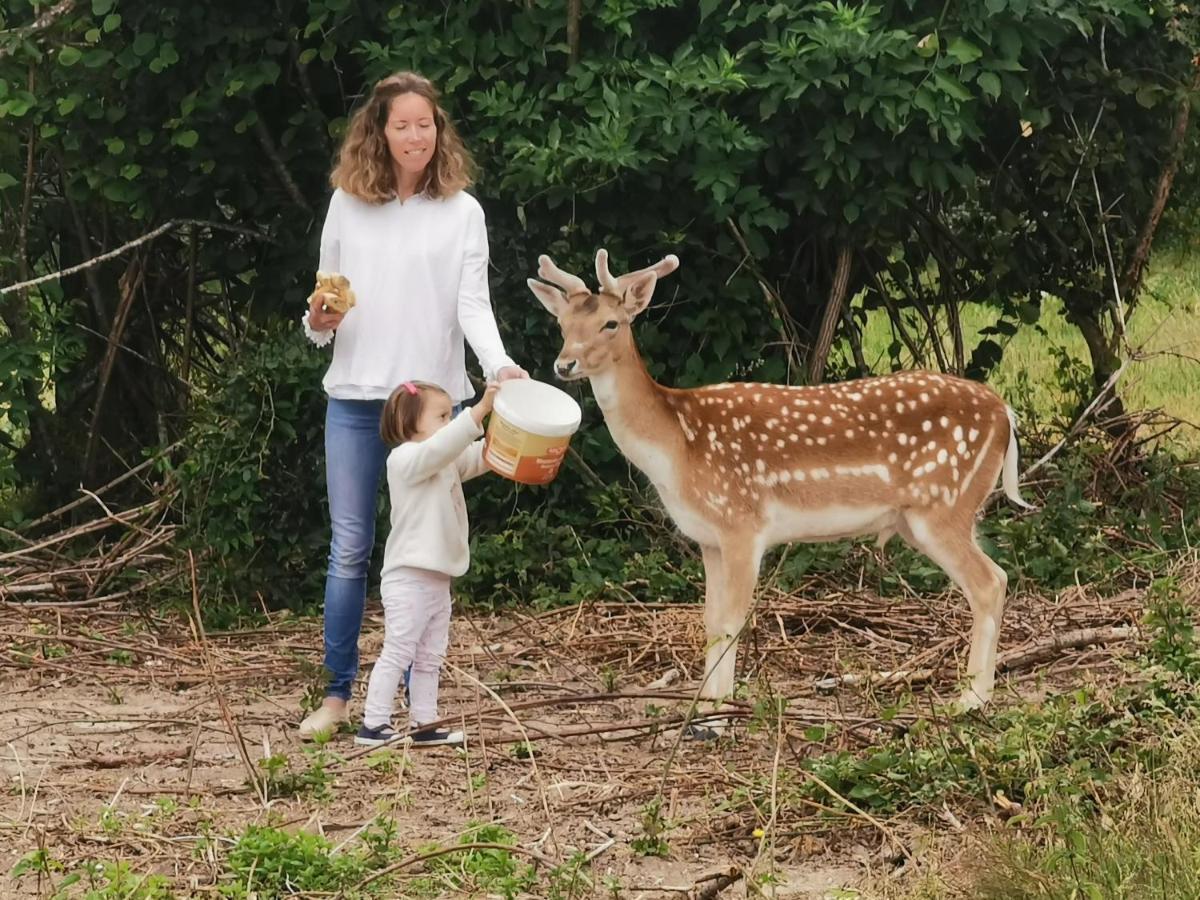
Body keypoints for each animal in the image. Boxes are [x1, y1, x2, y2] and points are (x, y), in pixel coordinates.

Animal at [530, 248, 1036, 734]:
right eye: (562, 323)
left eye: (610, 323)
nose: (564, 363)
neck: (677, 446)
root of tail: (1004, 413)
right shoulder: (709, 538)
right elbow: (710, 621)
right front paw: (703, 713)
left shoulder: (742, 523)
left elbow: (732, 620)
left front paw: (716, 719)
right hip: (927, 516)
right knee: (994, 577)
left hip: (943, 505)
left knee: (990, 582)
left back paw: (971, 700)